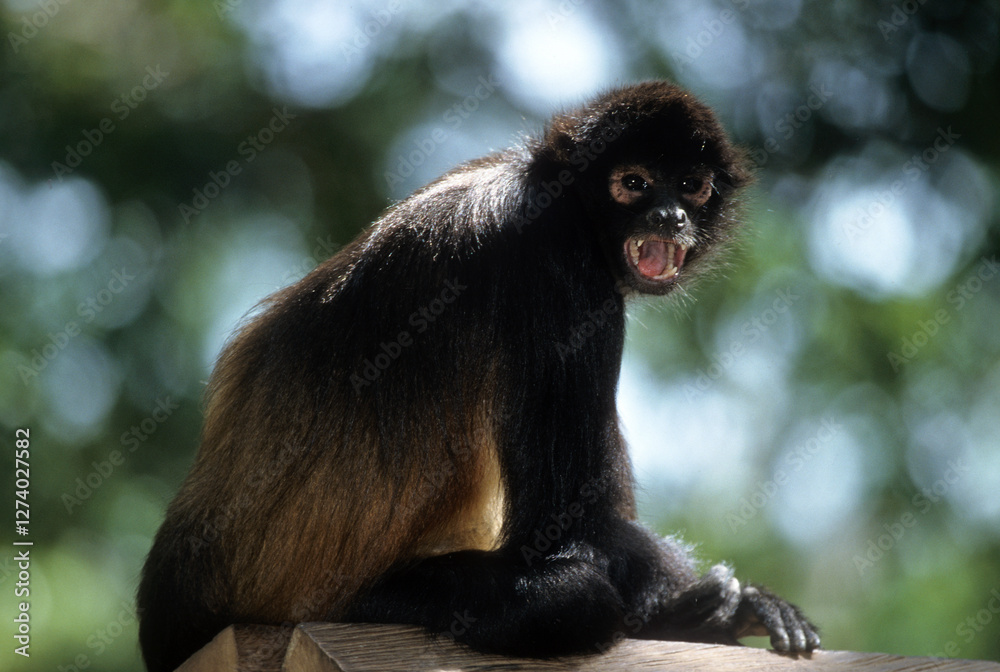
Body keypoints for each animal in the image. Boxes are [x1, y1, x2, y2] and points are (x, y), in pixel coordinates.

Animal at [137, 80, 820, 672]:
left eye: (692, 186)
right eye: (634, 183)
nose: (670, 216)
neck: (551, 192)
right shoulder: (559, 267)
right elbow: (566, 529)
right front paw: (719, 608)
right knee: (574, 598)